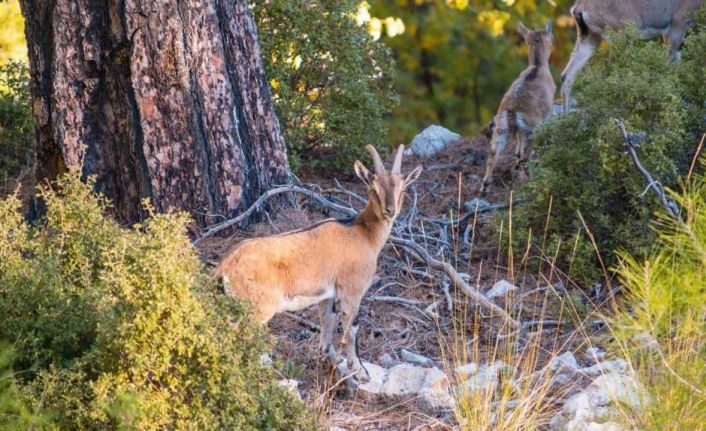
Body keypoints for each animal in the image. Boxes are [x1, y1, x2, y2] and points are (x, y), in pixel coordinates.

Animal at [214, 145, 420, 384]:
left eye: (403, 190)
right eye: (372, 189)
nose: (390, 211)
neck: (362, 234)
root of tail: (225, 267)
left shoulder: (327, 295)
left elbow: (327, 322)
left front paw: (330, 360)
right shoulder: (351, 291)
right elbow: (352, 329)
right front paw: (360, 372)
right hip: (256, 309)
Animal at [478, 21, 556, 195]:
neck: (537, 66)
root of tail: (512, 113)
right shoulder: (546, 114)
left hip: (501, 130)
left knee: (493, 154)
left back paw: (485, 187)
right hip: (532, 129)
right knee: (526, 158)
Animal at [560, 0, 700, 113]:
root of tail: (580, 7)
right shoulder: (679, 23)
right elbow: (669, 64)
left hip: (590, 37)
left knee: (567, 75)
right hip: (623, 33)